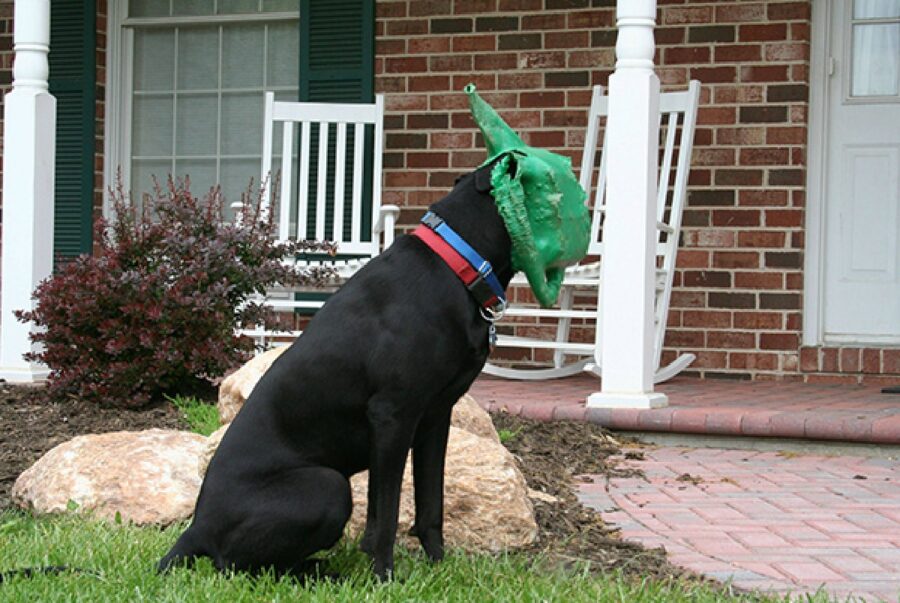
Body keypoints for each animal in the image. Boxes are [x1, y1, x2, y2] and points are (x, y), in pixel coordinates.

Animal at [157, 162, 512, 580]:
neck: (457, 262)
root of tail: (196, 528)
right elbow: (386, 513)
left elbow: (429, 505)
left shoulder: (435, 417)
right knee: (238, 566)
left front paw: (438, 567)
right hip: (327, 485)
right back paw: (324, 574)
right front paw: (384, 577)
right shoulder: (393, 415)